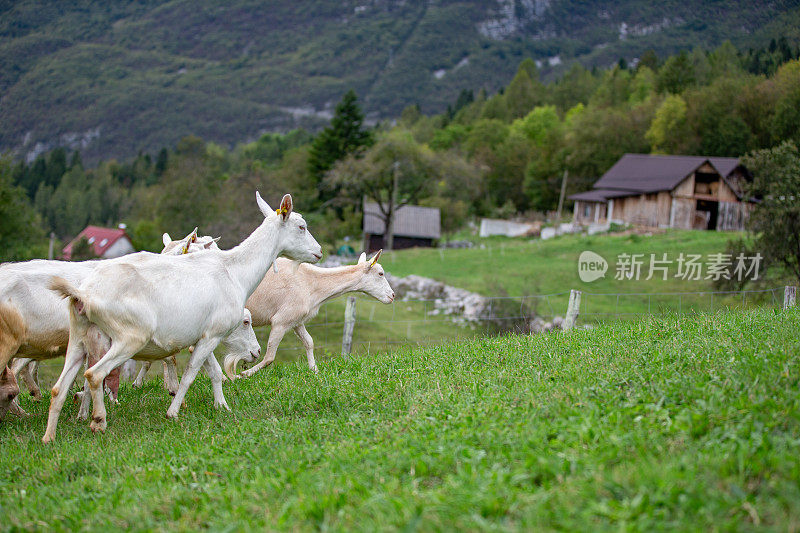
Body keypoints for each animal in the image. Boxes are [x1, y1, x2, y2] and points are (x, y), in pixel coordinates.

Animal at [44, 193, 322, 442]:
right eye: (301, 226)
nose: (319, 252)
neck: (233, 271)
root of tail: (84, 293)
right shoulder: (213, 333)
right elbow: (191, 373)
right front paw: (173, 412)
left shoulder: (204, 334)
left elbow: (213, 371)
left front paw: (222, 407)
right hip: (129, 336)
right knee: (94, 374)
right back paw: (98, 422)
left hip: (79, 336)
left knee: (59, 387)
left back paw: (50, 438)